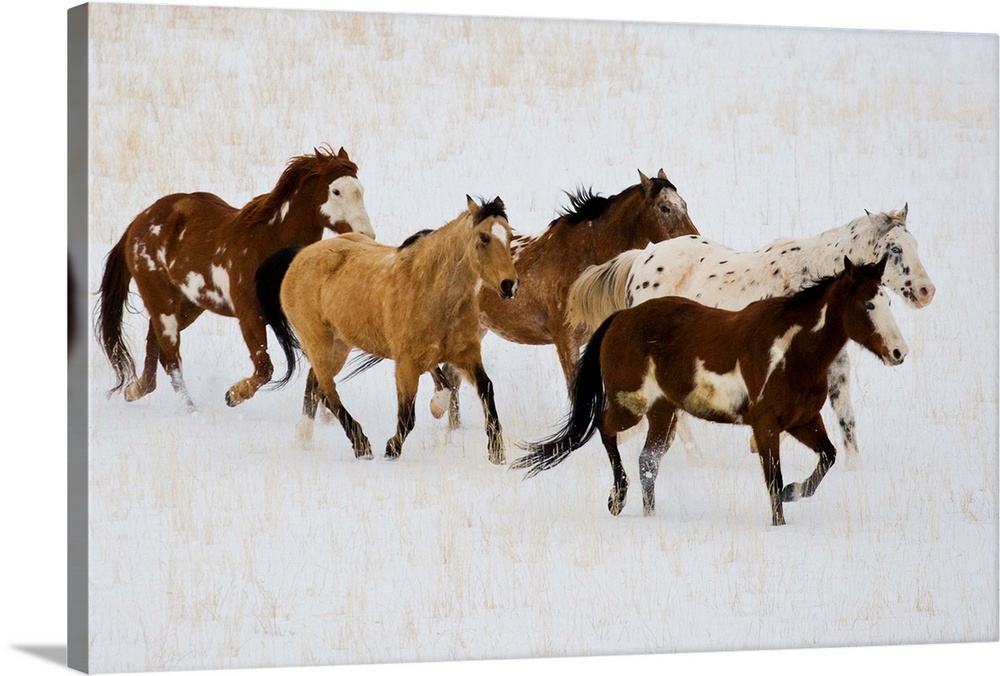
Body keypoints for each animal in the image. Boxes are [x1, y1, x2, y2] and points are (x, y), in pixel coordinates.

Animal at [96, 147, 376, 410]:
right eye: (336, 191)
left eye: (361, 189)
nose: (367, 235)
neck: (267, 243)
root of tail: (137, 223)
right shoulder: (250, 317)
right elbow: (265, 368)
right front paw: (234, 394)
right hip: (161, 302)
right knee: (171, 359)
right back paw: (189, 410)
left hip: (189, 306)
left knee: (155, 346)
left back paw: (135, 390)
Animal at [254, 193, 520, 462]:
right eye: (484, 237)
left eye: (510, 236)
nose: (509, 285)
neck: (434, 292)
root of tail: (299, 256)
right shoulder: (406, 364)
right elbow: (407, 415)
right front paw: (392, 449)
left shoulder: (466, 353)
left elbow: (485, 389)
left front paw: (496, 452)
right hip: (318, 342)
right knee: (327, 390)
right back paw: (361, 444)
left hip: (338, 347)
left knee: (315, 383)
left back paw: (305, 436)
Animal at [434, 172, 700, 428]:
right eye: (665, 208)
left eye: (685, 204)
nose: (694, 240)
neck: (587, 260)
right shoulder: (565, 339)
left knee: (453, 375)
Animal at [516, 256, 908, 524]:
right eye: (868, 303)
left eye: (889, 301)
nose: (898, 352)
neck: (791, 350)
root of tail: (618, 319)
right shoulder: (765, 425)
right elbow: (773, 480)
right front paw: (780, 517)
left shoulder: (803, 420)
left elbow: (828, 456)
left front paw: (794, 492)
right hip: (631, 405)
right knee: (605, 427)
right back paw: (618, 498)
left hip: (663, 413)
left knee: (647, 461)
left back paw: (649, 514)